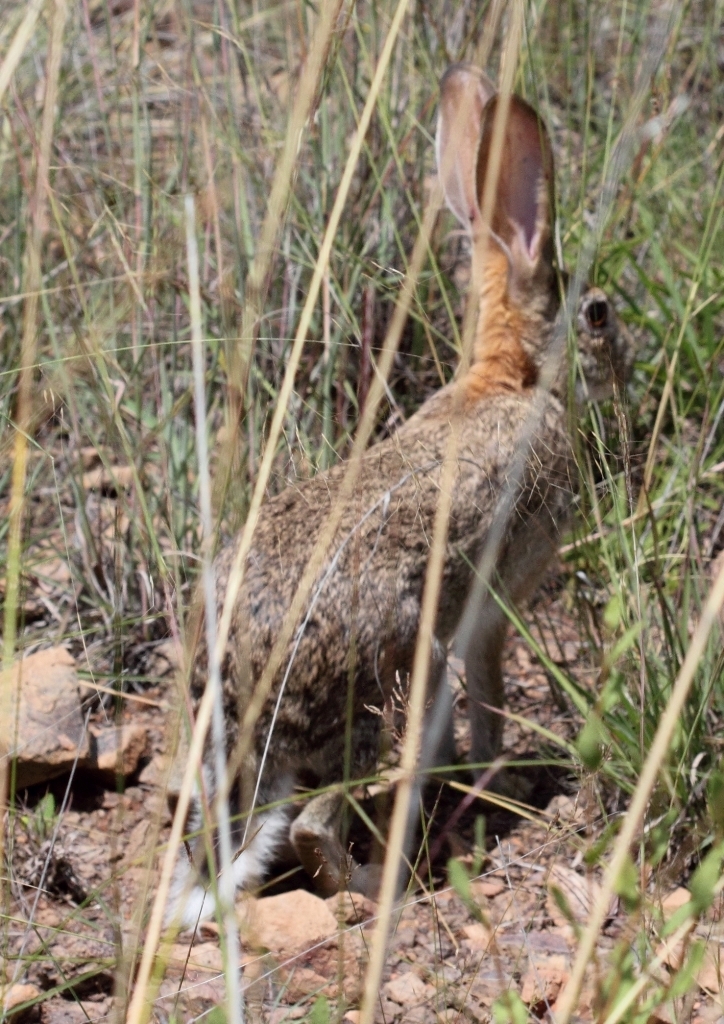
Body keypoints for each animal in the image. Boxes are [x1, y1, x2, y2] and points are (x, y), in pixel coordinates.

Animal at [168, 64, 634, 929]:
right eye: (596, 312)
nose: (624, 359)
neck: (509, 379)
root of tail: (246, 694)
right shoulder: (495, 608)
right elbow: (489, 689)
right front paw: (501, 774)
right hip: (385, 695)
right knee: (314, 829)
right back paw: (374, 885)